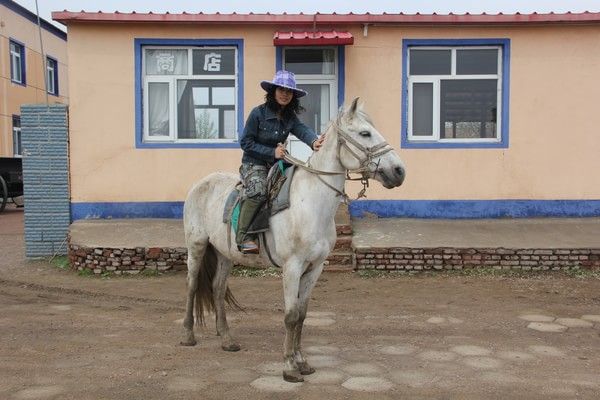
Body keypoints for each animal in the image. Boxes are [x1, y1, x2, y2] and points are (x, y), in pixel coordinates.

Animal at [183, 97, 406, 382]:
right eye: (365, 133)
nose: (399, 171)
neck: (310, 204)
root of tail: (200, 184)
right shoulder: (292, 267)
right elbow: (290, 316)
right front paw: (289, 367)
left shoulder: (315, 268)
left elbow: (301, 315)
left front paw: (302, 362)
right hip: (197, 247)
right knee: (191, 286)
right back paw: (188, 335)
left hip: (225, 255)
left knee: (217, 289)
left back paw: (227, 340)